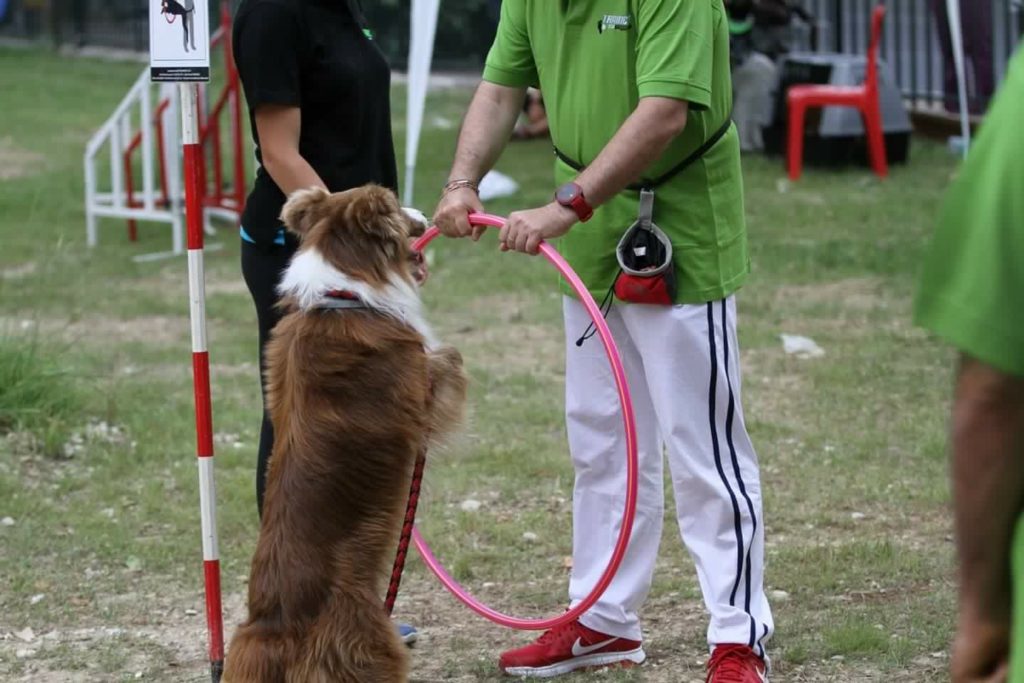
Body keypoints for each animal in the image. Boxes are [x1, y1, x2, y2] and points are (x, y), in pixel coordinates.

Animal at [224, 184, 468, 679]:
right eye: (394, 207)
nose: (425, 212)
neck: (340, 294)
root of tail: (275, 625)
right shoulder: (421, 386)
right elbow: (445, 358)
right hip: (364, 638)